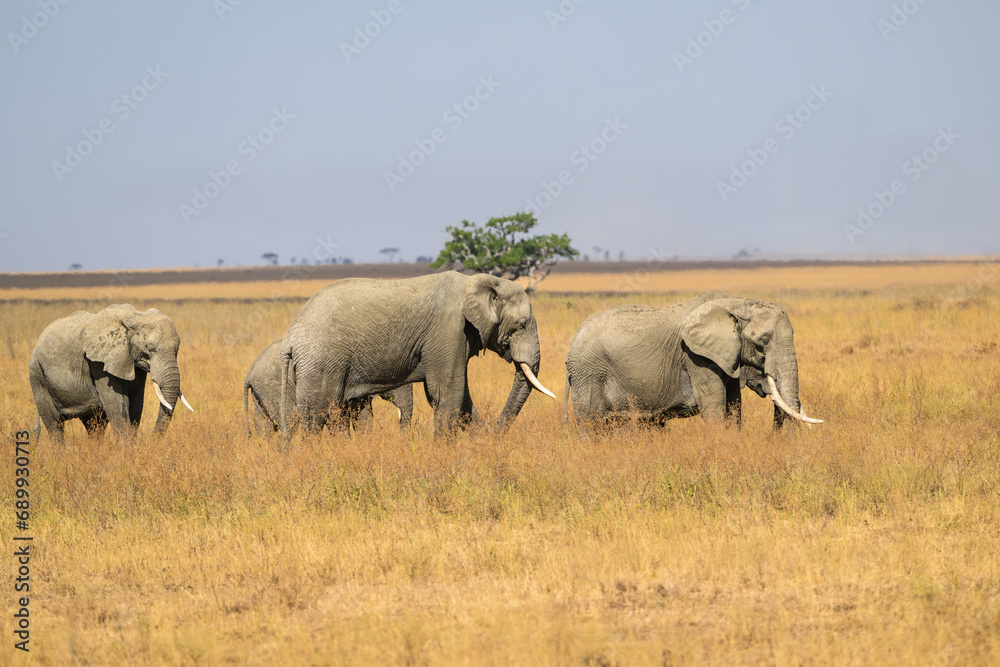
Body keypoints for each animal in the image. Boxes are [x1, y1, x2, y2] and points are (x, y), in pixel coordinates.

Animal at [29, 304, 193, 444]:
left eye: (177, 349)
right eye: (150, 349)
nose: (153, 441)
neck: (135, 317)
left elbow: (136, 403)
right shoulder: (99, 364)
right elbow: (117, 404)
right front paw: (126, 453)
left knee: (94, 425)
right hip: (37, 375)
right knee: (54, 424)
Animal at [278, 272, 556, 438]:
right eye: (521, 325)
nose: (494, 432)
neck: (477, 281)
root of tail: (289, 338)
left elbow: (461, 395)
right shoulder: (448, 330)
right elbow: (447, 391)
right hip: (321, 362)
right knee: (318, 412)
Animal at [568, 290, 824, 428]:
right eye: (763, 341)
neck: (738, 303)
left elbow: (734, 405)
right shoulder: (696, 357)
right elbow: (713, 403)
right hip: (588, 373)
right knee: (590, 422)